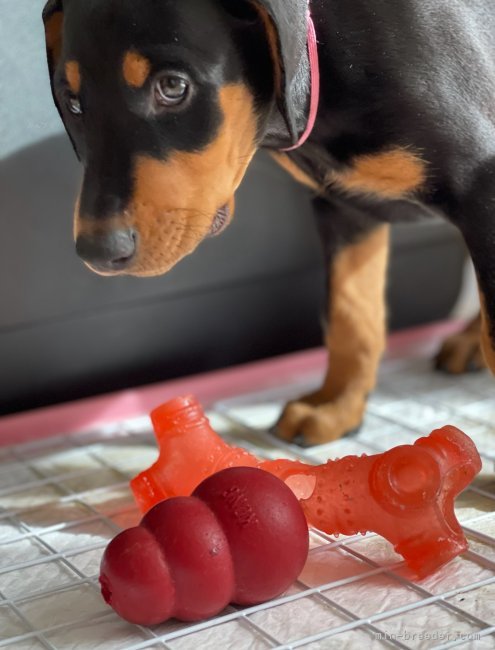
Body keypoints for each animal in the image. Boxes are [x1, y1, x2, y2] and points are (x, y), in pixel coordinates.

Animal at [42, 0, 495, 442]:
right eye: (74, 103)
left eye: (172, 87)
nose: (99, 252)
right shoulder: (344, 209)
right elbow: (351, 317)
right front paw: (335, 408)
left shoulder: (481, 185)